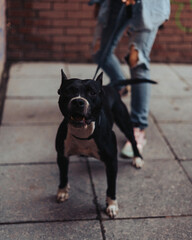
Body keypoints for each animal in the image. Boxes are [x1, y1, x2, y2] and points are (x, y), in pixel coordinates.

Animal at [55, 70, 153, 218]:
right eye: (68, 91)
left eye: (92, 93)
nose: (78, 101)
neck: (84, 132)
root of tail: (108, 87)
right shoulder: (62, 155)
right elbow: (63, 174)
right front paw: (62, 190)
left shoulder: (112, 162)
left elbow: (111, 186)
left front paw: (111, 205)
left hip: (124, 122)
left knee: (133, 140)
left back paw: (137, 158)